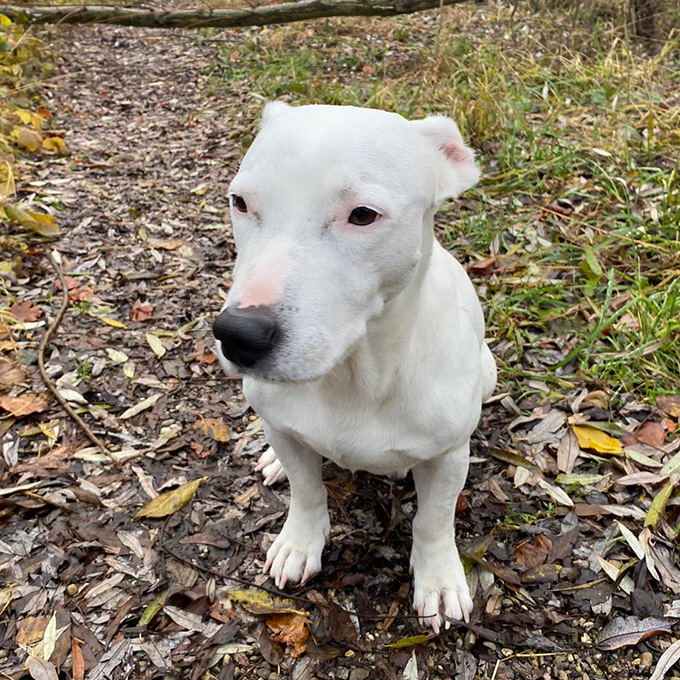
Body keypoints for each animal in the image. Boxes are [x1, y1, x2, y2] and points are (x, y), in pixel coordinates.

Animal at [215, 102, 496, 632]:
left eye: (362, 215)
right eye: (240, 202)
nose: (238, 336)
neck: (356, 372)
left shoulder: (448, 457)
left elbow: (434, 520)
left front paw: (438, 578)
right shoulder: (283, 427)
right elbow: (306, 489)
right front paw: (299, 541)